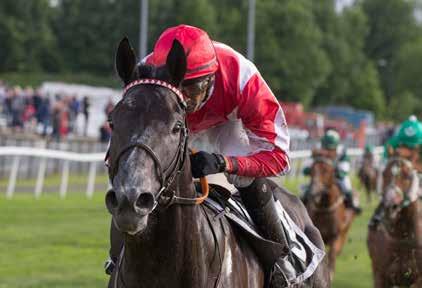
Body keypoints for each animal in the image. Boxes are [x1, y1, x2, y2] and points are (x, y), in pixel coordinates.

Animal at [104, 38, 330, 288]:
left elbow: (278, 152)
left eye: (176, 126)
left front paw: (206, 162)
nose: (130, 198)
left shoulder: (247, 88)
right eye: (112, 122)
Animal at [304, 153, 354, 282]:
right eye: (311, 170)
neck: (324, 208)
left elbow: (332, 255)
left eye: (327, 171)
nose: (313, 192)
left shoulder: (335, 236)